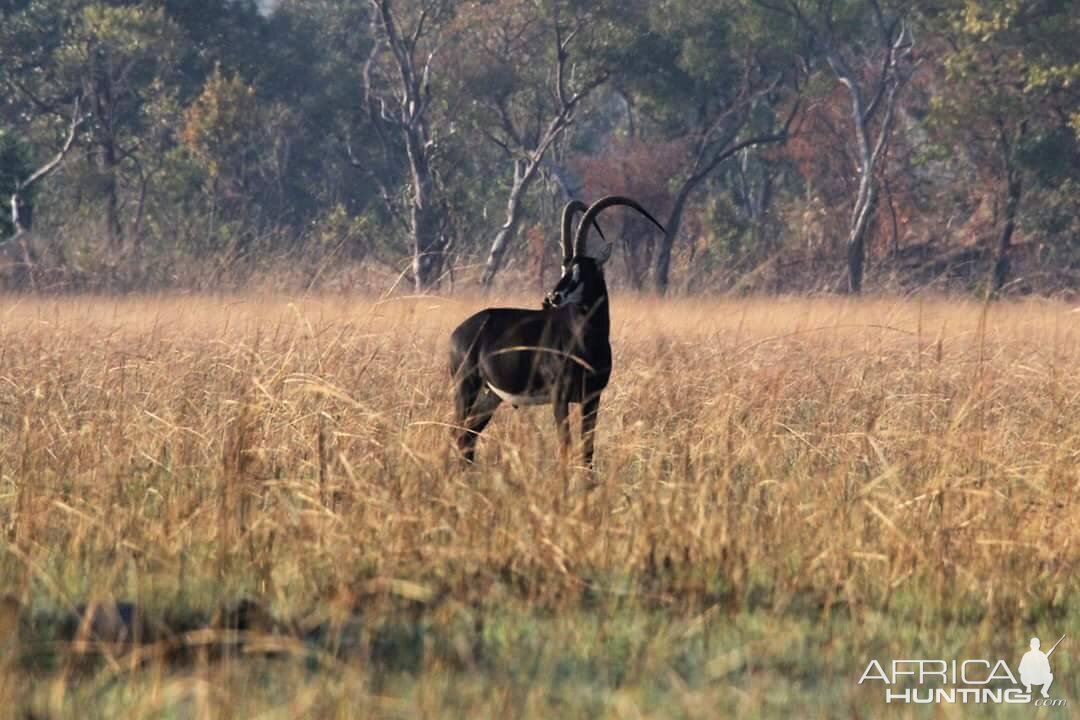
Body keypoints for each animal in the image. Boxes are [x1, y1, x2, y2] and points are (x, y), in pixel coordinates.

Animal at [447, 197, 665, 468]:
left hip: (490, 396)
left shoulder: (592, 398)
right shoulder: (559, 396)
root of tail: (458, 332)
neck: (586, 341)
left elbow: (588, 451)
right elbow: (565, 447)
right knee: (459, 433)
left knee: (468, 436)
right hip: (465, 386)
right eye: (564, 267)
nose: (551, 297)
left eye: (582, 270)